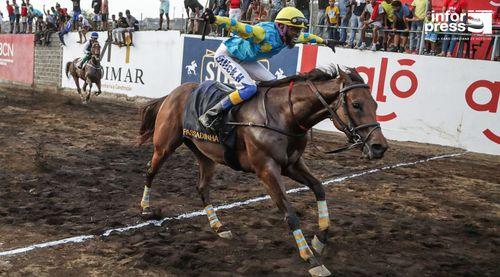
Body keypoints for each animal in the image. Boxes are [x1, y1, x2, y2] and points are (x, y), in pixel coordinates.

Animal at [138, 66, 390, 274]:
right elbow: (290, 214)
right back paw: (146, 209)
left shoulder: (291, 165)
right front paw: (310, 259)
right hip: (165, 145)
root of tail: (173, 93)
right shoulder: (267, 170)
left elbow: (319, 188)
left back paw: (219, 227)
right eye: (356, 104)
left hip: (206, 155)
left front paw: (320, 239)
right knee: (150, 171)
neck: (285, 115)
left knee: (202, 187)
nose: (380, 147)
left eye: (375, 104)